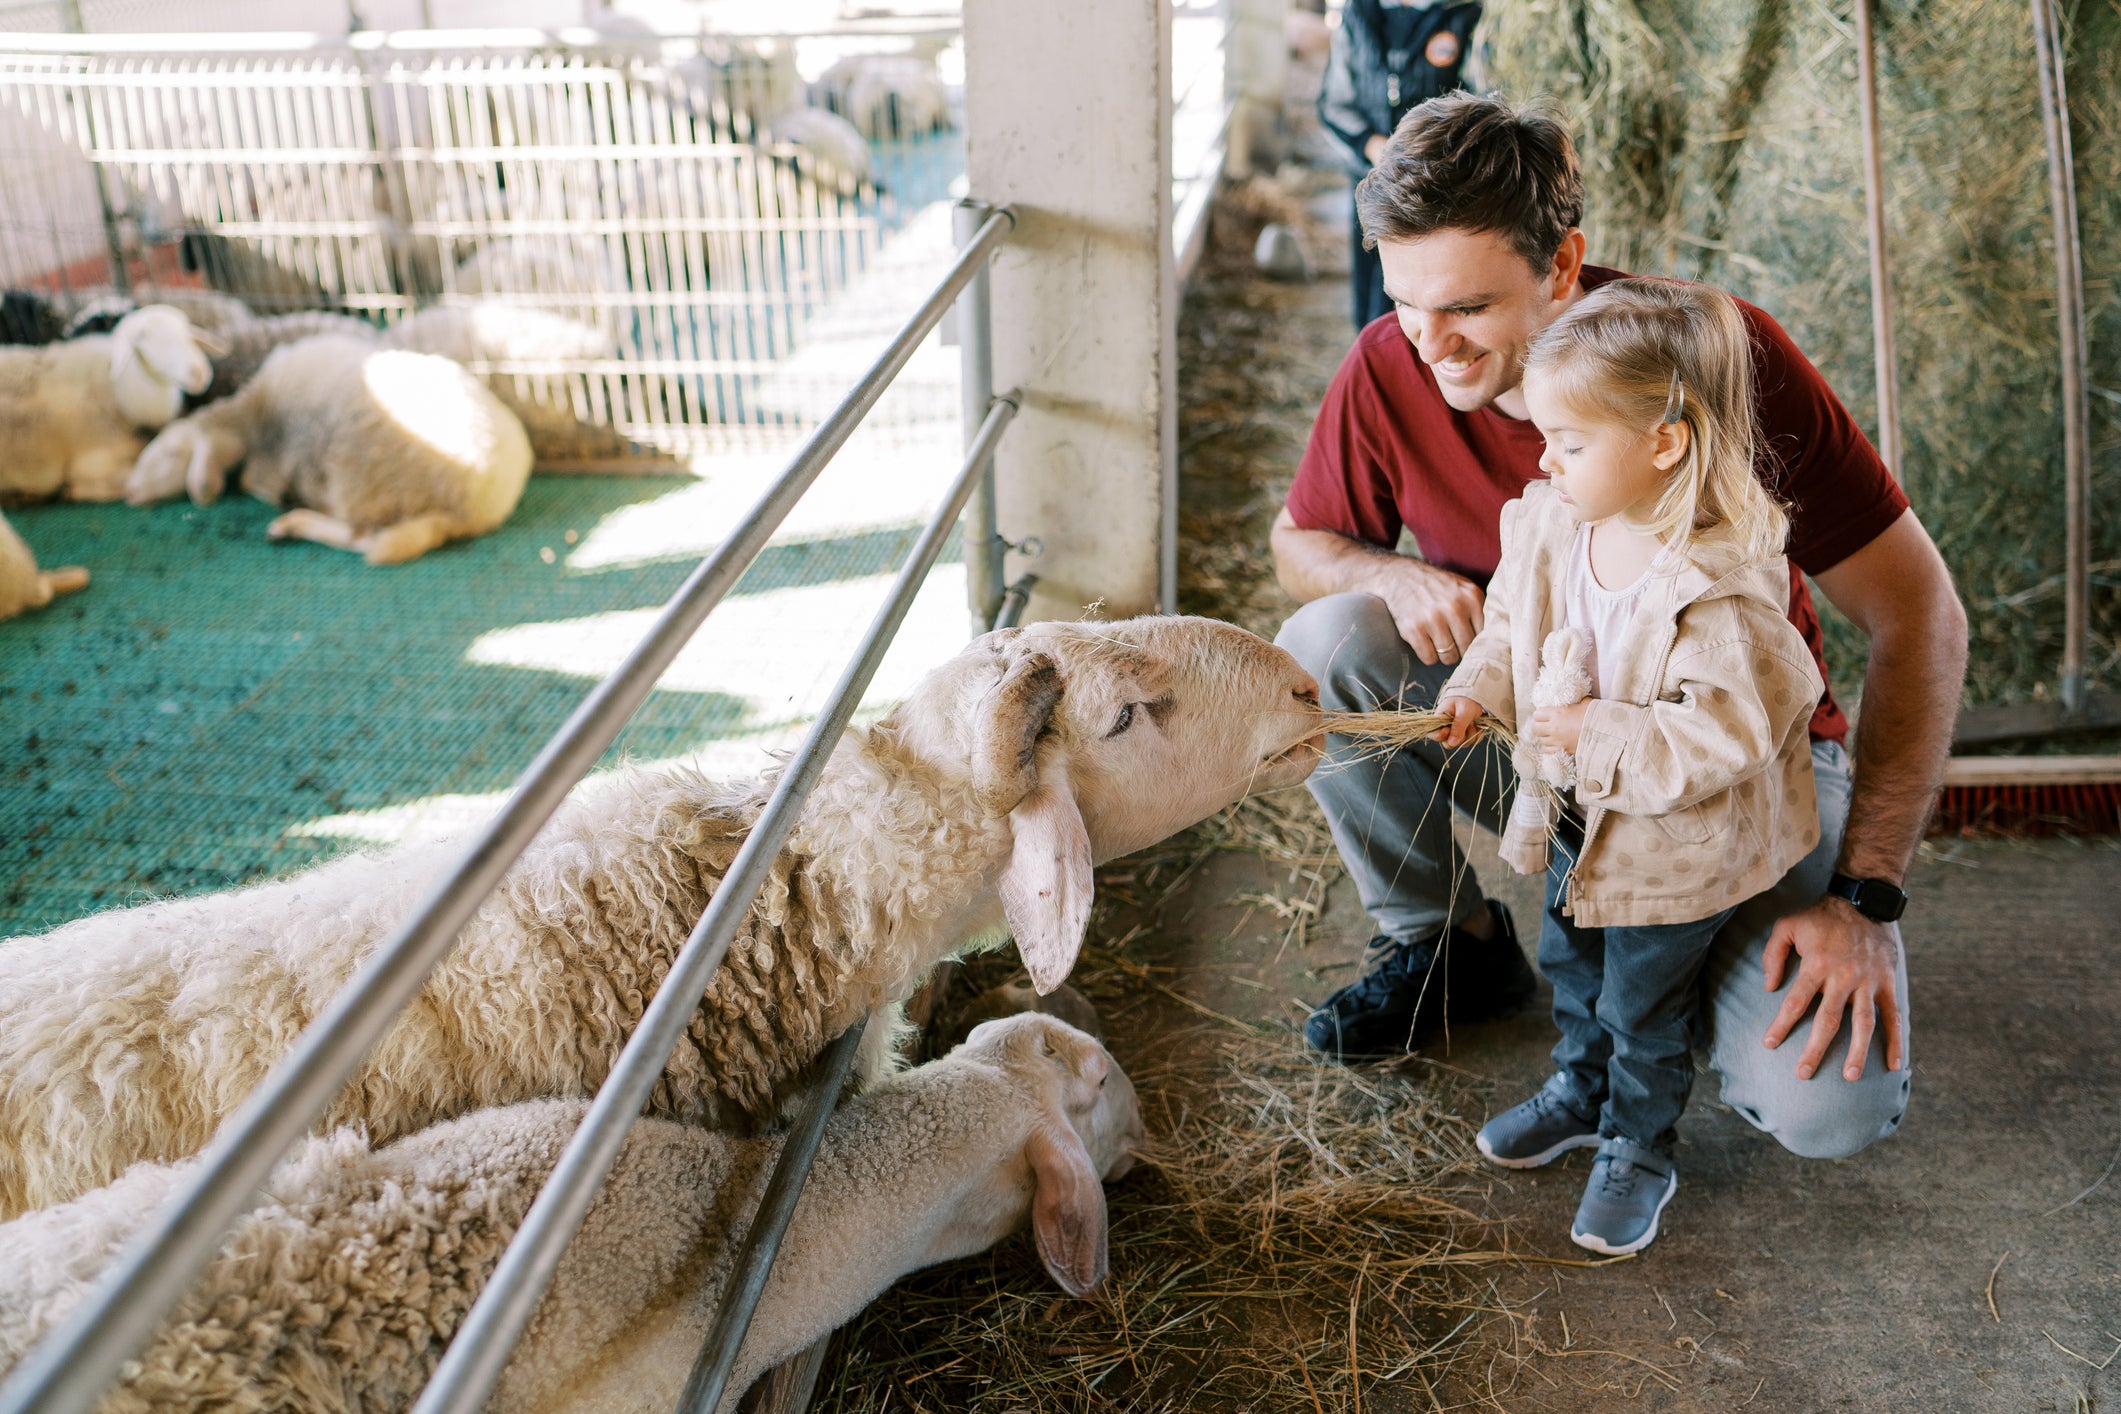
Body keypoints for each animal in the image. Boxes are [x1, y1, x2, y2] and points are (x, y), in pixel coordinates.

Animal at [0, 307, 219, 506]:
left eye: (187, 332)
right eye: (141, 338)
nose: (200, 373)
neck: (116, 392)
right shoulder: (95, 460)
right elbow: (123, 476)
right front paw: (75, 489)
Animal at [120, 334, 534, 568]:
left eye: (171, 453)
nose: (130, 493)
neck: (250, 416)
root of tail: (482, 507)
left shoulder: (278, 457)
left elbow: (256, 481)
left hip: (361, 478)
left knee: (363, 538)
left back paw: (292, 523)